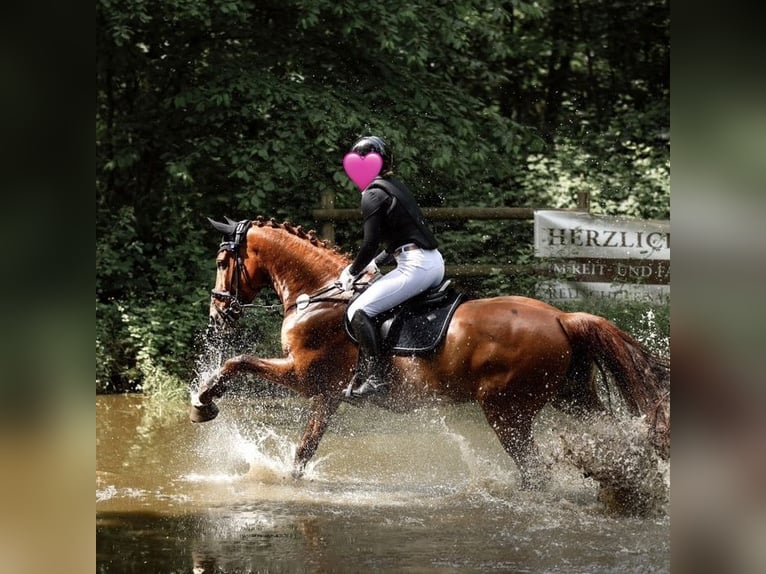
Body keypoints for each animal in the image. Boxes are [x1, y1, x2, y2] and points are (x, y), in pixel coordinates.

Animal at [191, 216, 670, 489]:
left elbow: (236, 362)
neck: (319, 294)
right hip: (572, 396)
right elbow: (304, 450)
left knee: (535, 472)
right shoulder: (326, 395)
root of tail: (561, 317)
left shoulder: (306, 377)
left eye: (221, 261)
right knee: (616, 437)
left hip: (507, 410)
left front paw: (203, 404)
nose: (218, 313)